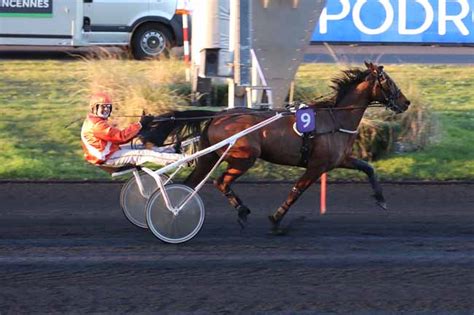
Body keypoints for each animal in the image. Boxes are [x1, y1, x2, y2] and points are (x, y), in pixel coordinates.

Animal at [141, 62, 412, 235]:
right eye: (388, 81)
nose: (406, 102)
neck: (335, 119)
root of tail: (218, 116)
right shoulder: (317, 166)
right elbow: (296, 191)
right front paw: (276, 220)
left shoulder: (339, 159)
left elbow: (368, 168)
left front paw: (381, 199)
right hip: (244, 158)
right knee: (221, 182)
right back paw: (239, 211)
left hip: (211, 157)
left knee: (190, 184)